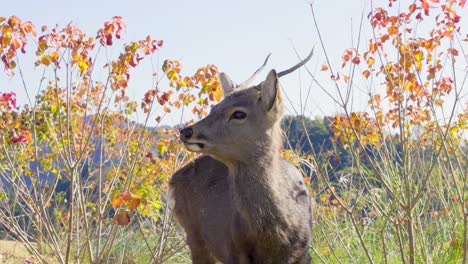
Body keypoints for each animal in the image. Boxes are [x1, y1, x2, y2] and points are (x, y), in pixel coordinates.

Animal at [168, 49, 314, 262]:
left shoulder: (303, 253)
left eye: (239, 114)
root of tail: (174, 179)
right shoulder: (233, 250)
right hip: (193, 234)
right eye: (214, 107)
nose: (186, 131)